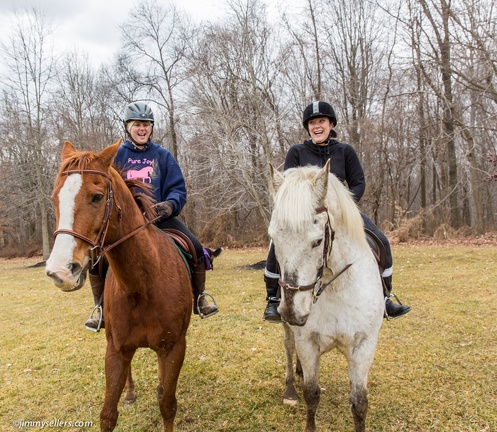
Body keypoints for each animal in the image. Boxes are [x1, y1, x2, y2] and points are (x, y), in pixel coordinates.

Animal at [45, 140, 192, 430]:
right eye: (55, 199)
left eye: (97, 196)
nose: (60, 272)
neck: (142, 284)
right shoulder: (115, 350)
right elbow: (108, 414)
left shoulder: (174, 348)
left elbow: (168, 406)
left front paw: (163, 393)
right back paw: (131, 392)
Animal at [270, 161, 382, 432]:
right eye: (273, 238)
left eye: (317, 241)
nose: (292, 312)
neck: (336, 287)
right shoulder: (307, 342)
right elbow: (311, 394)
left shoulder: (364, 346)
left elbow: (359, 404)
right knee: (288, 346)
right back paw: (290, 388)